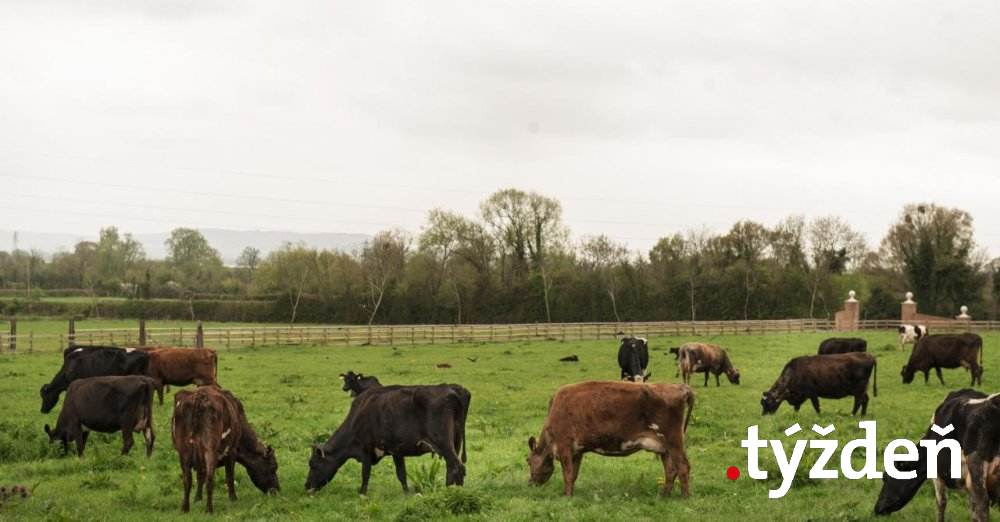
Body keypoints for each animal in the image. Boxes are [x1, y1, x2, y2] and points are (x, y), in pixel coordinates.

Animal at [171, 385, 279, 513]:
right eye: (273, 467)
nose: (277, 490)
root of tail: (199, 396)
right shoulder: (232, 451)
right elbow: (229, 477)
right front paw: (233, 498)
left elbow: (200, 476)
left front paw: (197, 498)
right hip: (210, 449)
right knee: (210, 479)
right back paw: (209, 510)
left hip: (184, 450)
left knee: (187, 479)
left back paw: (185, 508)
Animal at [305, 383, 470, 494]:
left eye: (312, 464)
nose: (306, 486)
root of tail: (454, 388)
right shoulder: (397, 449)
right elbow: (401, 473)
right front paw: (406, 492)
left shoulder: (365, 446)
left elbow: (365, 472)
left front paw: (362, 493)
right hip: (455, 443)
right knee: (451, 469)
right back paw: (448, 490)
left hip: (444, 443)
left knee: (457, 467)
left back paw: (454, 494)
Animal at [527, 381, 694, 498]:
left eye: (527, 460)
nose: (529, 484)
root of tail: (679, 386)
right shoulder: (577, 450)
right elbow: (573, 475)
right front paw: (570, 494)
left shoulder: (564, 446)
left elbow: (567, 474)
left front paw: (566, 497)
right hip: (665, 448)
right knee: (671, 470)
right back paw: (664, 496)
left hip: (673, 441)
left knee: (683, 467)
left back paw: (684, 498)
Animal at [874, 389, 1000, 521]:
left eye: (885, 478)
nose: (876, 509)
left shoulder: (936, 470)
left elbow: (941, 502)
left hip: (976, 464)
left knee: (982, 504)